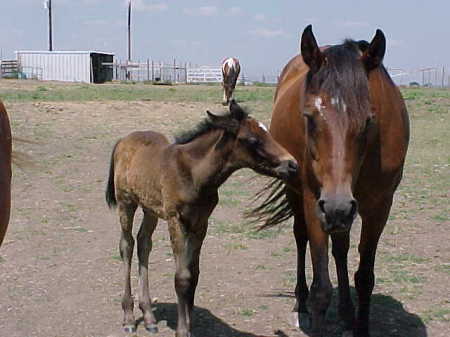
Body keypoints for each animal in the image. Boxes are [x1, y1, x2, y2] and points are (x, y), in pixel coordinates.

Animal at [105, 100, 298, 336]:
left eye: (267, 132)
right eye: (253, 140)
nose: (292, 165)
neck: (193, 173)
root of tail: (123, 140)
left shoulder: (200, 223)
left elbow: (194, 274)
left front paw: (189, 323)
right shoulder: (176, 220)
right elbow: (182, 277)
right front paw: (182, 330)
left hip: (150, 208)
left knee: (144, 243)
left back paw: (149, 317)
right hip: (126, 202)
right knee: (127, 245)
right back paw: (129, 318)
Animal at [251, 26, 410, 336]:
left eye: (369, 120)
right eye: (309, 117)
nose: (337, 206)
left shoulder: (379, 206)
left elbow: (364, 277)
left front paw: (359, 325)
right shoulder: (315, 201)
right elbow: (321, 288)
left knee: (341, 249)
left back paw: (347, 312)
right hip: (300, 195)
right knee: (300, 238)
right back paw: (300, 301)